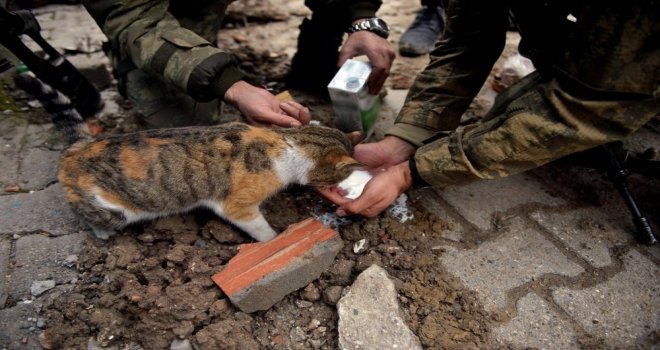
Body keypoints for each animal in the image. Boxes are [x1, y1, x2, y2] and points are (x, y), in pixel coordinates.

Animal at [16, 75, 360, 242]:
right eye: (343, 175)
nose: (341, 186)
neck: (286, 142)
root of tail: (78, 146)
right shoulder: (237, 206)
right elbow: (260, 229)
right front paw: (274, 239)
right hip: (111, 210)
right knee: (91, 218)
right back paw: (103, 234)